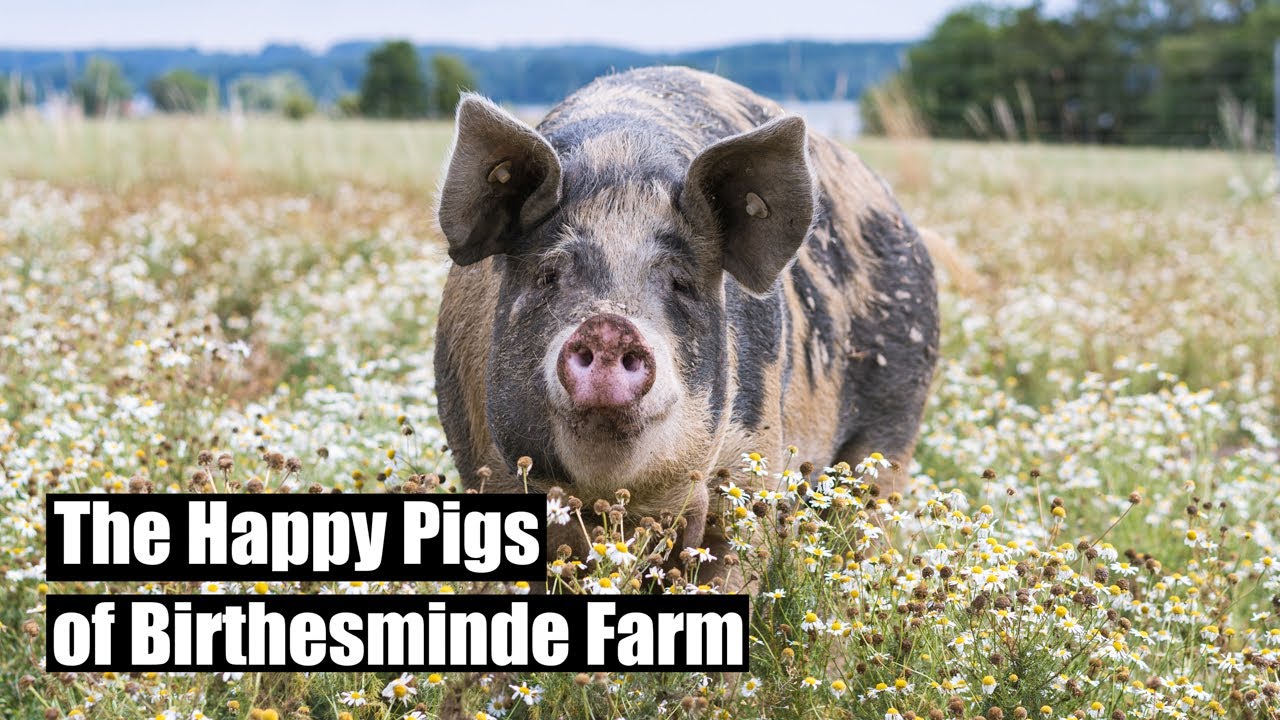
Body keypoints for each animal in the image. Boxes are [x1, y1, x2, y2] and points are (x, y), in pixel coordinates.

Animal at [433, 66, 938, 584]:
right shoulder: (480, 463)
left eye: (682, 282)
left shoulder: (752, 461)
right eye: (548, 274)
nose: (609, 326)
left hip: (896, 421)